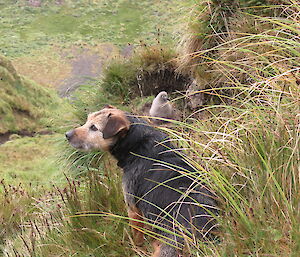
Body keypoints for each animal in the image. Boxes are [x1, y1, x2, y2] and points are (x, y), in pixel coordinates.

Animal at [65, 104, 217, 256]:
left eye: (94, 127)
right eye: (87, 120)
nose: (67, 134)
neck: (137, 144)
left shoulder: (133, 209)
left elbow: (138, 237)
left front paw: (137, 249)